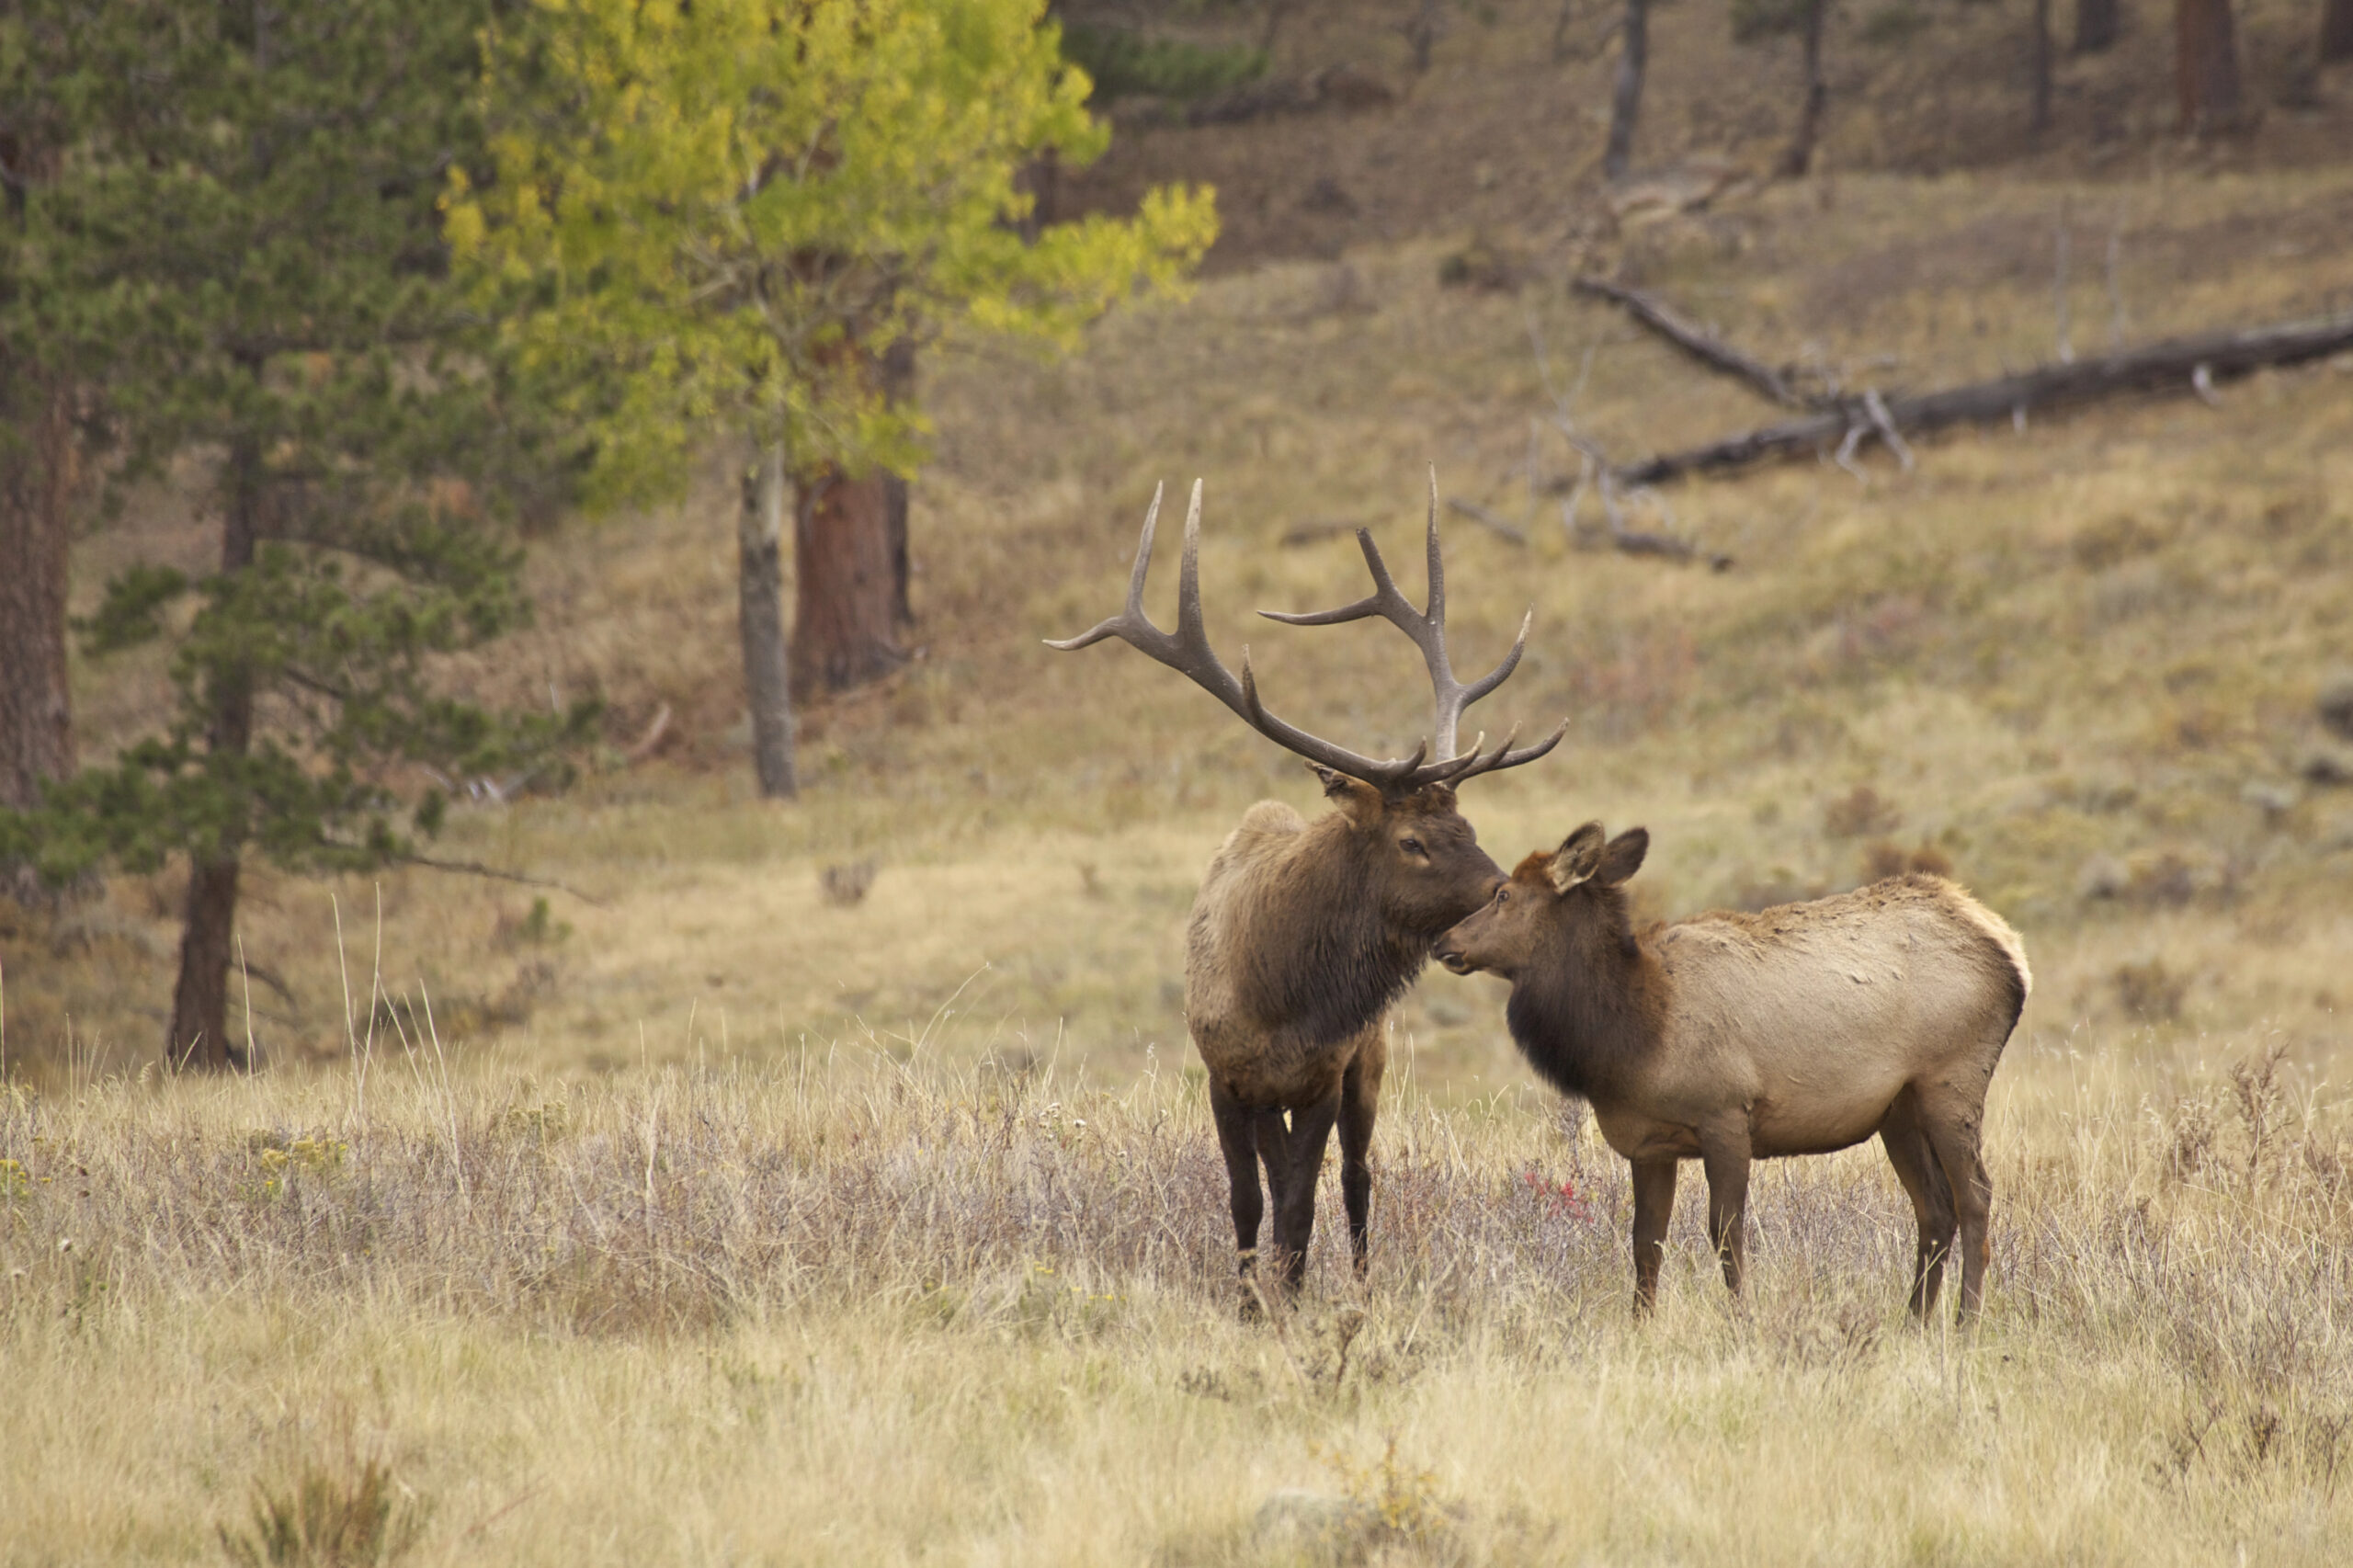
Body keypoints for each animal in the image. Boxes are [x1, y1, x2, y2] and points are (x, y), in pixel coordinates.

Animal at [1049, 476, 1564, 1305]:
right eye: (1412, 841)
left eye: (1469, 823)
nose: (1504, 896)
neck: (1280, 995)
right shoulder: (1227, 1078)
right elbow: (1249, 1199)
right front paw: (1252, 1304)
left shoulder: (1325, 1077)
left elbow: (1302, 1202)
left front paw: (1290, 1300)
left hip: (1370, 1065)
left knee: (1357, 1180)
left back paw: (1358, 1283)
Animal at [1434, 823, 2031, 1322]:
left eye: (1504, 894)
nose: (1444, 943)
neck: (1633, 1035)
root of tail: (2011, 952)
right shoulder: (1650, 1143)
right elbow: (1645, 1240)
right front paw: (1640, 1326)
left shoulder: (1725, 1114)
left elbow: (1725, 1231)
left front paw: (1743, 1320)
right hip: (1897, 1108)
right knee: (1934, 1210)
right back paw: (1913, 1323)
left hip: (1952, 1080)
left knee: (1976, 1196)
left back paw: (1966, 1321)